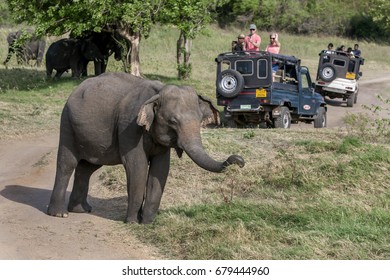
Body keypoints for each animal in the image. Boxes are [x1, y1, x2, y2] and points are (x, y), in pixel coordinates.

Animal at [47, 71, 245, 223]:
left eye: (199, 119)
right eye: (173, 121)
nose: (239, 160)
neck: (158, 92)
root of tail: (76, 89)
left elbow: (161, 169)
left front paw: (149, 222)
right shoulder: (129, 127)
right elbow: (138, 167)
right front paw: (133, 222)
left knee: (87, 167)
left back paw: (81, 209)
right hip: (67, 123)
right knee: (67, 164)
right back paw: (60, 214)